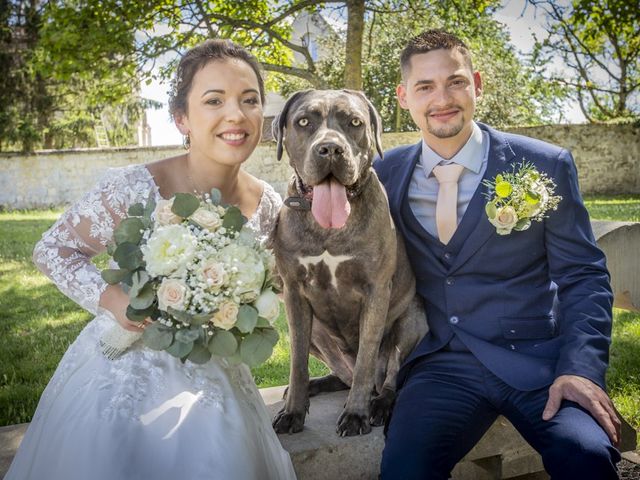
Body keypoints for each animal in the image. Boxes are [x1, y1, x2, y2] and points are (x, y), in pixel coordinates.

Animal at [268, 88, 424, 436]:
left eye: (354, 122)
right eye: (303, 122)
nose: (330, 149)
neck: (329, 229)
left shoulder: (375, 291)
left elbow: (367, 357)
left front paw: (356, 415)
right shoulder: (294, 294)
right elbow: (296, 362)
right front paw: (293, 411)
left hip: (412, 320)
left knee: (387, 377)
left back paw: (378, 404)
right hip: (318, 333)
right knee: (342, 376)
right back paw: (315, 385)